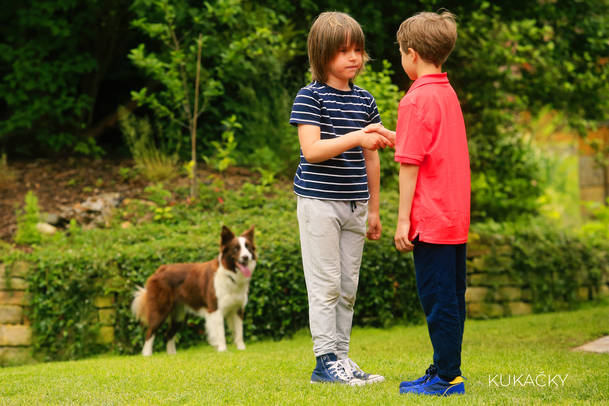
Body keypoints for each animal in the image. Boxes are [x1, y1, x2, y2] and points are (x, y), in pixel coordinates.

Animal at [132, 225, 255, 356]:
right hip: (160, 310)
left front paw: (241, 348)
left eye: (248, 248)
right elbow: (220, 331)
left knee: (168, 334)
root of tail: (159, 270)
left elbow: (239, 331)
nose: (246, 257)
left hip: (179, 315)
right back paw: (147, 355)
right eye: (236, 249)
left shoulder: (238, 308)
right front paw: (222, 349)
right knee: (149, 333)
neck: (229, 274)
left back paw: (172, 355)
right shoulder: (215, 308)